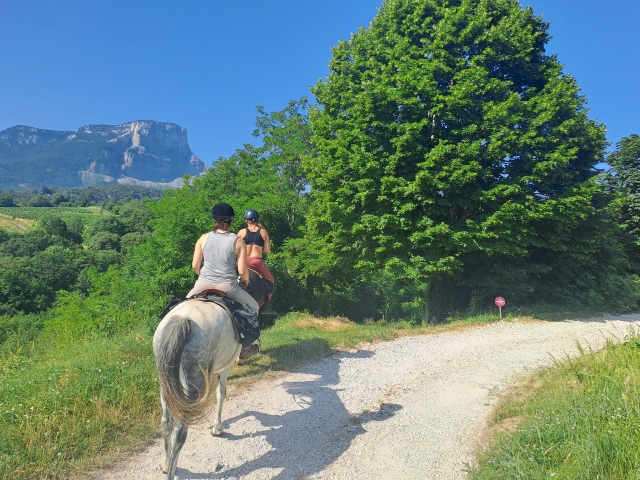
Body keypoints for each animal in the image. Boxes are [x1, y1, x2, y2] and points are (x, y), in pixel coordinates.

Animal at [153, 270, 267, 480]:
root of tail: (183, 320)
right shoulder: (225, 366)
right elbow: (221, 393)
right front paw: (217, 428)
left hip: (165, 382)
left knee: (166, 422)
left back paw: (165, 464)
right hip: (193, 382)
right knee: (180, 431)